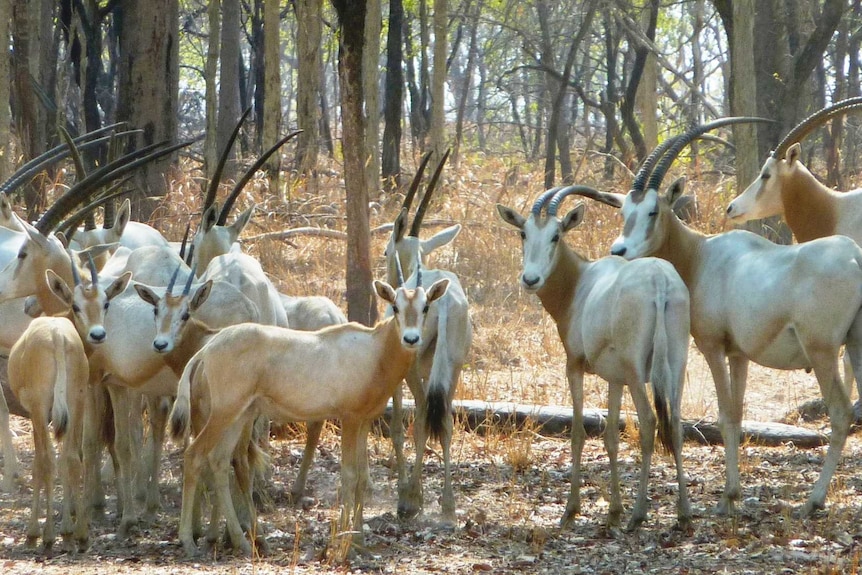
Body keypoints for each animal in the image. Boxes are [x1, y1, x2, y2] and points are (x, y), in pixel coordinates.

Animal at [170, 268, 452, 560]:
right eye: (395, 307)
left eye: (425, 306)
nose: (411, 339)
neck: (374, 350)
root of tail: (206, 350)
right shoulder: (349, 418)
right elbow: (349, 475)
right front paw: (344, 543)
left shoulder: (364, 421)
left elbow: (362, 479)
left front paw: (360, 540)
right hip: (223, 413)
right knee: (194, 455)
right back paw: (189, 541)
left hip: (238, 415)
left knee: (219, 460)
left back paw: (243, 542)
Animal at [500, 188, 688, 532]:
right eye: (523, 232)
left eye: (556, 235)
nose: (530, 279)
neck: (580, 284)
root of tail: (659, 281)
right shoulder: (615, 378)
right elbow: (611, 436)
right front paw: (613, 511)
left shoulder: (574, 365)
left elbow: (577, 433)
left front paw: (570, 510)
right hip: (676, 365)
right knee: (676, 424)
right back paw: (683, 514)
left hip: (636, 370)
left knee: (650, 421)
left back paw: (639, 514)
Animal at [612, 119, 862, 516]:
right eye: (625, 213)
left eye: (653, 211)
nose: (619, 251)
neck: (700, 255)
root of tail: (855, 256)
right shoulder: (739, 355)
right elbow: (740, 413)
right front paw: (735, 492)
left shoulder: (713, 347)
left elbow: (726, 415)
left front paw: (727, 497)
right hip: (856, 343)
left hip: (822, 351)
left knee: (840, 413)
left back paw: (813, 500)